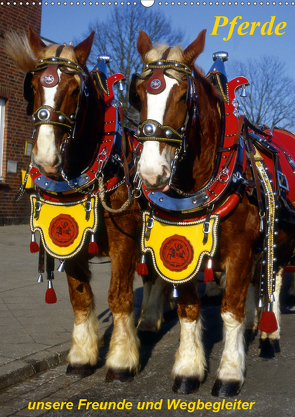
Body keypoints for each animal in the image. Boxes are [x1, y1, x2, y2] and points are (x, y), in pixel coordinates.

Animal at [5, 28, 142, 380]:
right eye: (34, 86)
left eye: (76, 90)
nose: (45, 158)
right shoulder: (69, 239)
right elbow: (80, 297)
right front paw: (82, 356)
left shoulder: (125, 239)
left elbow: (119, 296)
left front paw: (121, 360)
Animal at [132, 30, 295, 396]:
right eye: (139, 94)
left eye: (183, 96)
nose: (151, 172)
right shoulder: (181, 250)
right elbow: (189, 309)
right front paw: (188, 370)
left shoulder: (239, 252)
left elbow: (229, 310)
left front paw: (230, 373)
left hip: (280, 239)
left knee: (274, 280)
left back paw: (270, 332)